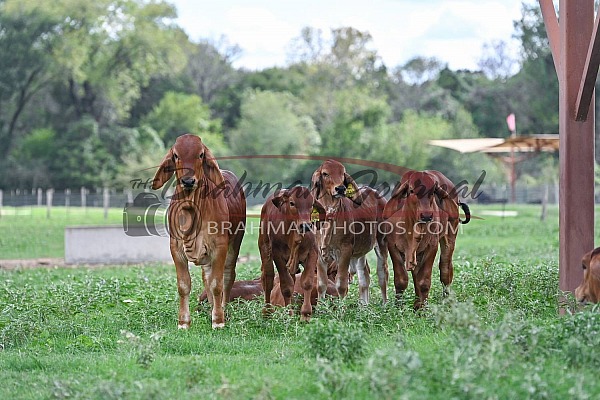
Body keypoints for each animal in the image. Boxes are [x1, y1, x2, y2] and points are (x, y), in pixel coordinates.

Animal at [152, 134, 246, 328]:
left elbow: (217, 283)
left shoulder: (219, 247)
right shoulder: (176, 248)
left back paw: (221, 309)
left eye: (201, 154)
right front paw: (183, 322)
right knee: (206, 276)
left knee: (227, 275)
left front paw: (218, 320)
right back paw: (210, 307)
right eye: (175, 155)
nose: (188, 181)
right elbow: (184, 285)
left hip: (235, 242)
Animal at [256, 186, 324, 320]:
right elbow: (286, 287)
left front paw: (305, 314)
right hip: (265, 249)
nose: (306, 226)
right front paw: (289, 314)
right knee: (268, 278)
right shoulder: (277, 255)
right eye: (292, 203)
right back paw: (267, 311)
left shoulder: (312, 253)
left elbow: (307, 283)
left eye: (311, 205)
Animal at [310, 159, 390, 304]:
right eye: (325, 173)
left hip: (382, 243)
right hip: (361, 251)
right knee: (364, 276)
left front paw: (342, 308)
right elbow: (321, 285)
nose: (341, 189)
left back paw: (385, 304)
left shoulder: (345, 252)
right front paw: (320, 307)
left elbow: (341, 285)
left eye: (342, 173)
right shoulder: (319, 254)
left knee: (383, 273)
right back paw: (364, 306)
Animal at [382, 169, 472, 310]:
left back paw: (445, 300)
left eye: (433, 191)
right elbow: (401, 280)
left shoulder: (432, 246)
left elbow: (424, 281)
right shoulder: (392, 246)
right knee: (416, 274)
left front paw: (422, 309)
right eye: (411, 190)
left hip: (450, 238)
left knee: (445, 270)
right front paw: (399, 308)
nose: (426, 215)